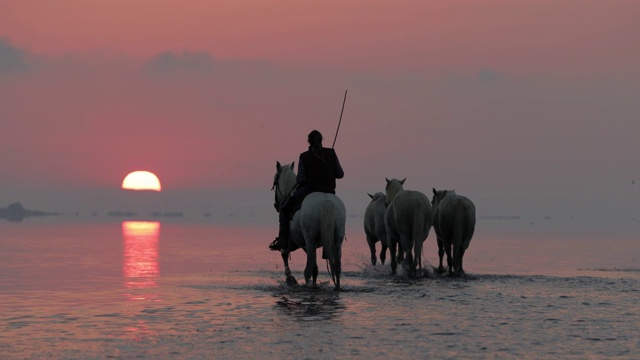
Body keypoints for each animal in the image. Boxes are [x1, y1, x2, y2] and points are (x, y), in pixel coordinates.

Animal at [272, 162, 348, 292]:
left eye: (275, 182)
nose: (276, 205)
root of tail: (326, 201)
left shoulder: (295, 242)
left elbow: (284, 253)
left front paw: (290, 278)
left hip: (309, 239)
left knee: (311, 268)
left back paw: (310, 286)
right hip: (337, 239)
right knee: (336, 265)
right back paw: (336, 287)